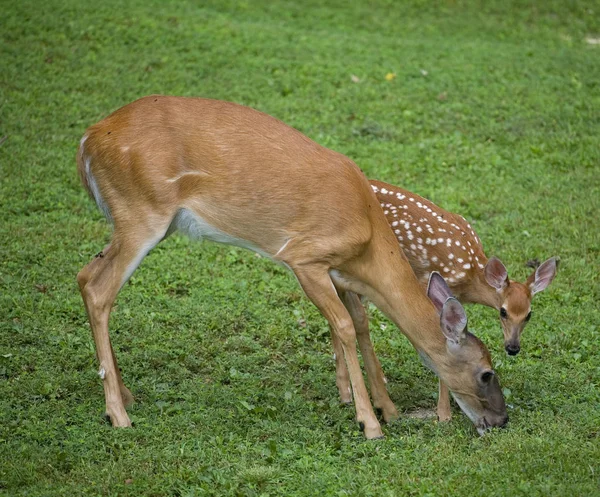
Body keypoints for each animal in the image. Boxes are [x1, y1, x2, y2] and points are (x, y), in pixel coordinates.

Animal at [75, 95, 506, 436]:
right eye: (486, 372)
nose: (501, 420)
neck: (367, 236)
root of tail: (88, 139)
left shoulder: (340, 272)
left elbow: (362, 324)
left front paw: (389, 409)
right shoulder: (304, 256)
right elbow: (345, 327)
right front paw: (370, 423)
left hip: (141, 221)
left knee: (85, 275)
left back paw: (126, 395)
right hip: (142, 212)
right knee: (99, 289)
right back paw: (118, 414)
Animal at [366, 178, 556, 418]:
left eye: (529, 315)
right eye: (503, 311)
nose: (513, 348)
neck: (471, 273)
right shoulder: (428, 283)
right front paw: (443, 414)